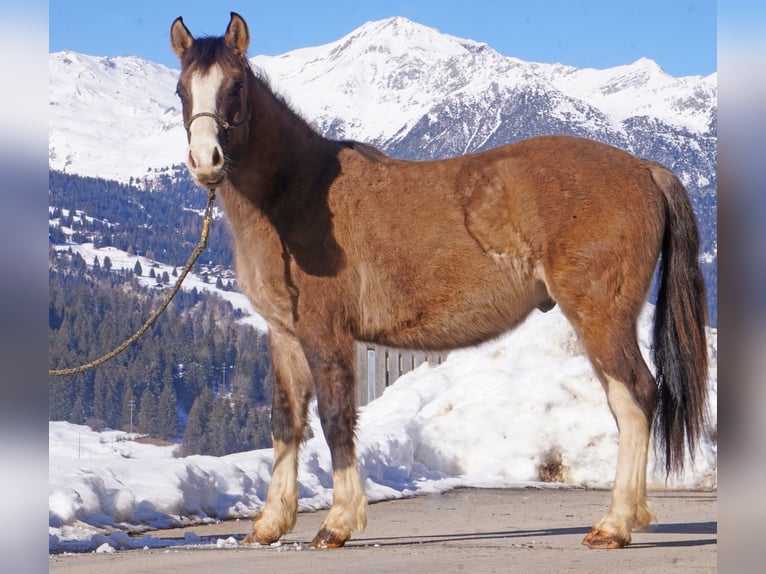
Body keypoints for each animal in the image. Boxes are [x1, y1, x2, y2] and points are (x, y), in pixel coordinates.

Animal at [171, 12, 712, 552]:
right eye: (182, 89)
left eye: (236, 86)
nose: (205, 161)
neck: (297, 194)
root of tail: (645, 169)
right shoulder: (284, 335)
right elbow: (286, 421)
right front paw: (269, 524)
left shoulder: (326, 333)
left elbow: (336, 418)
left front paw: (338, 522)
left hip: (600, 316)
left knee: (635, 396)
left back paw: (615, 524)